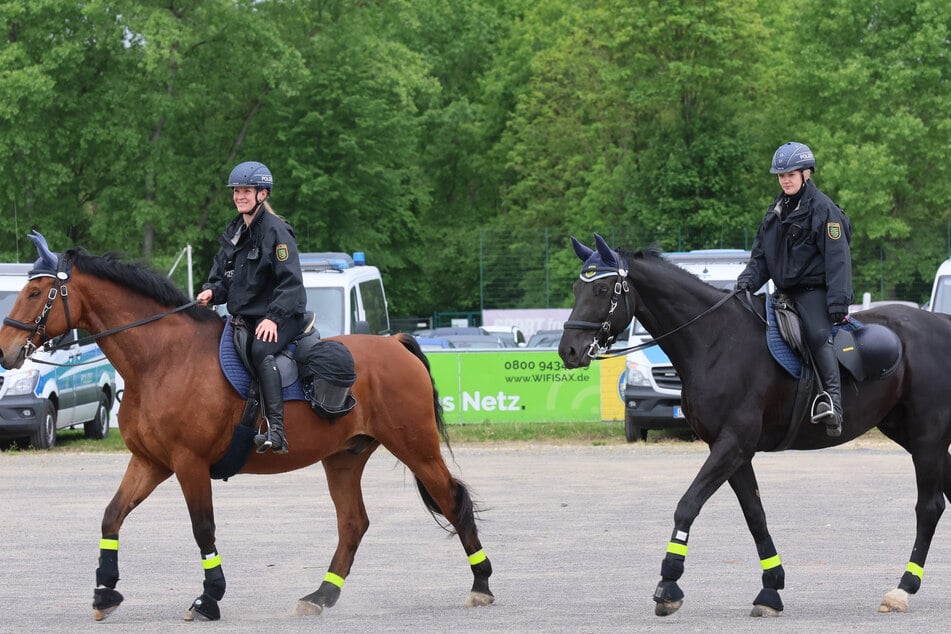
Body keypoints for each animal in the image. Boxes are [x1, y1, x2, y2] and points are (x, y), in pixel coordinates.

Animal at [0, 231, 490, 616]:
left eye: (37, 293)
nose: (6, 353)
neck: (161, 358)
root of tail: (397, 344)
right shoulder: (150, 462)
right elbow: (111, 516)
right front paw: (105, 591)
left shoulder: (189, 464)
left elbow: (203, 529)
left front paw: (209, 598)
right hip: (344, 459)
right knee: (353, 523)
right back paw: (321, 595)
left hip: (416, 447)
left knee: (451, 500)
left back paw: (482, 583)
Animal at [556, 235, 951, 616]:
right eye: (576, 289)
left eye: (602, 290)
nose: (568, 350)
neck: (715, 340)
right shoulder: (734, 451)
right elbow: (755, 515)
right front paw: (770, 589)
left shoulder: (733, 443)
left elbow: (687, 504)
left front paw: (668, 583)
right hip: (911, 434)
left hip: (927, 437)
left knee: (929, 507)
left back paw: (903, 588)